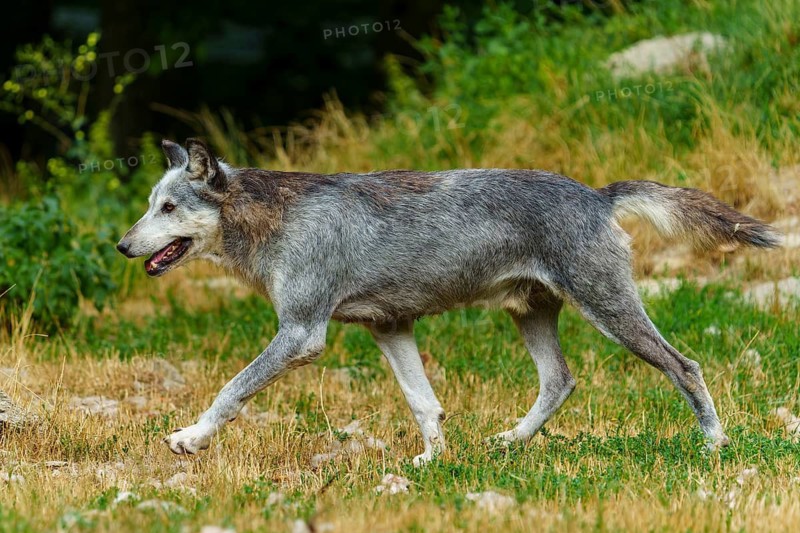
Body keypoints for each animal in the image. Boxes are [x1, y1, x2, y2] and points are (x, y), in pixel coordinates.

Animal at [117, 138, 781, 465]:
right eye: (151, 204)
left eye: (168, 208)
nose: (122, 245)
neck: (273, 223)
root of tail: (597, 194)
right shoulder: (389, 328)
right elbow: (424, 405)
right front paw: (433, 464)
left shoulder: (302, 336)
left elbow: (230, 390)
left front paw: (191, 439)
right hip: (531, 316)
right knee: (560, 381)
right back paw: (511, 442)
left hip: (612, 314)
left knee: (685, 366)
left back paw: (714, 444)